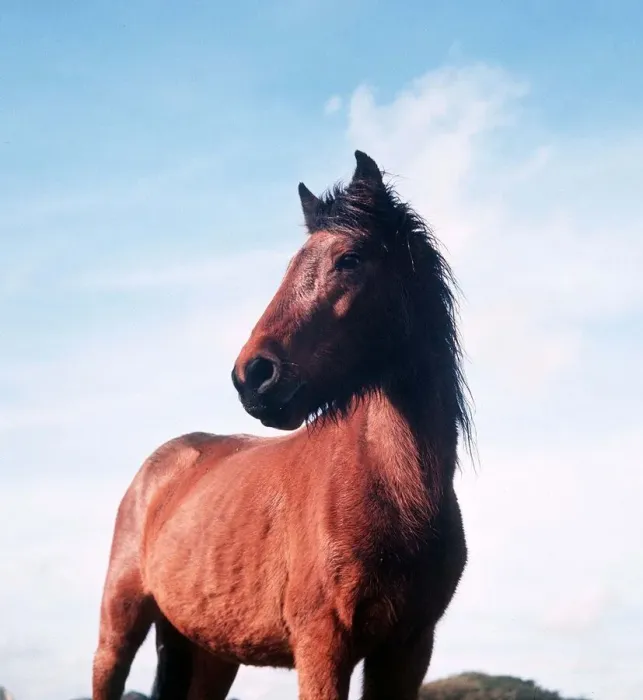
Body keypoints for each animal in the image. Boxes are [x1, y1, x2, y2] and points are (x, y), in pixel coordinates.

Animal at [92, 150, 474, 700]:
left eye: (349, 259)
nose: (252, 376)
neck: (394, 490)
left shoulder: (408, 649)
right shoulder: (322, 643)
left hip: (209, 652)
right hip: (119, 624)